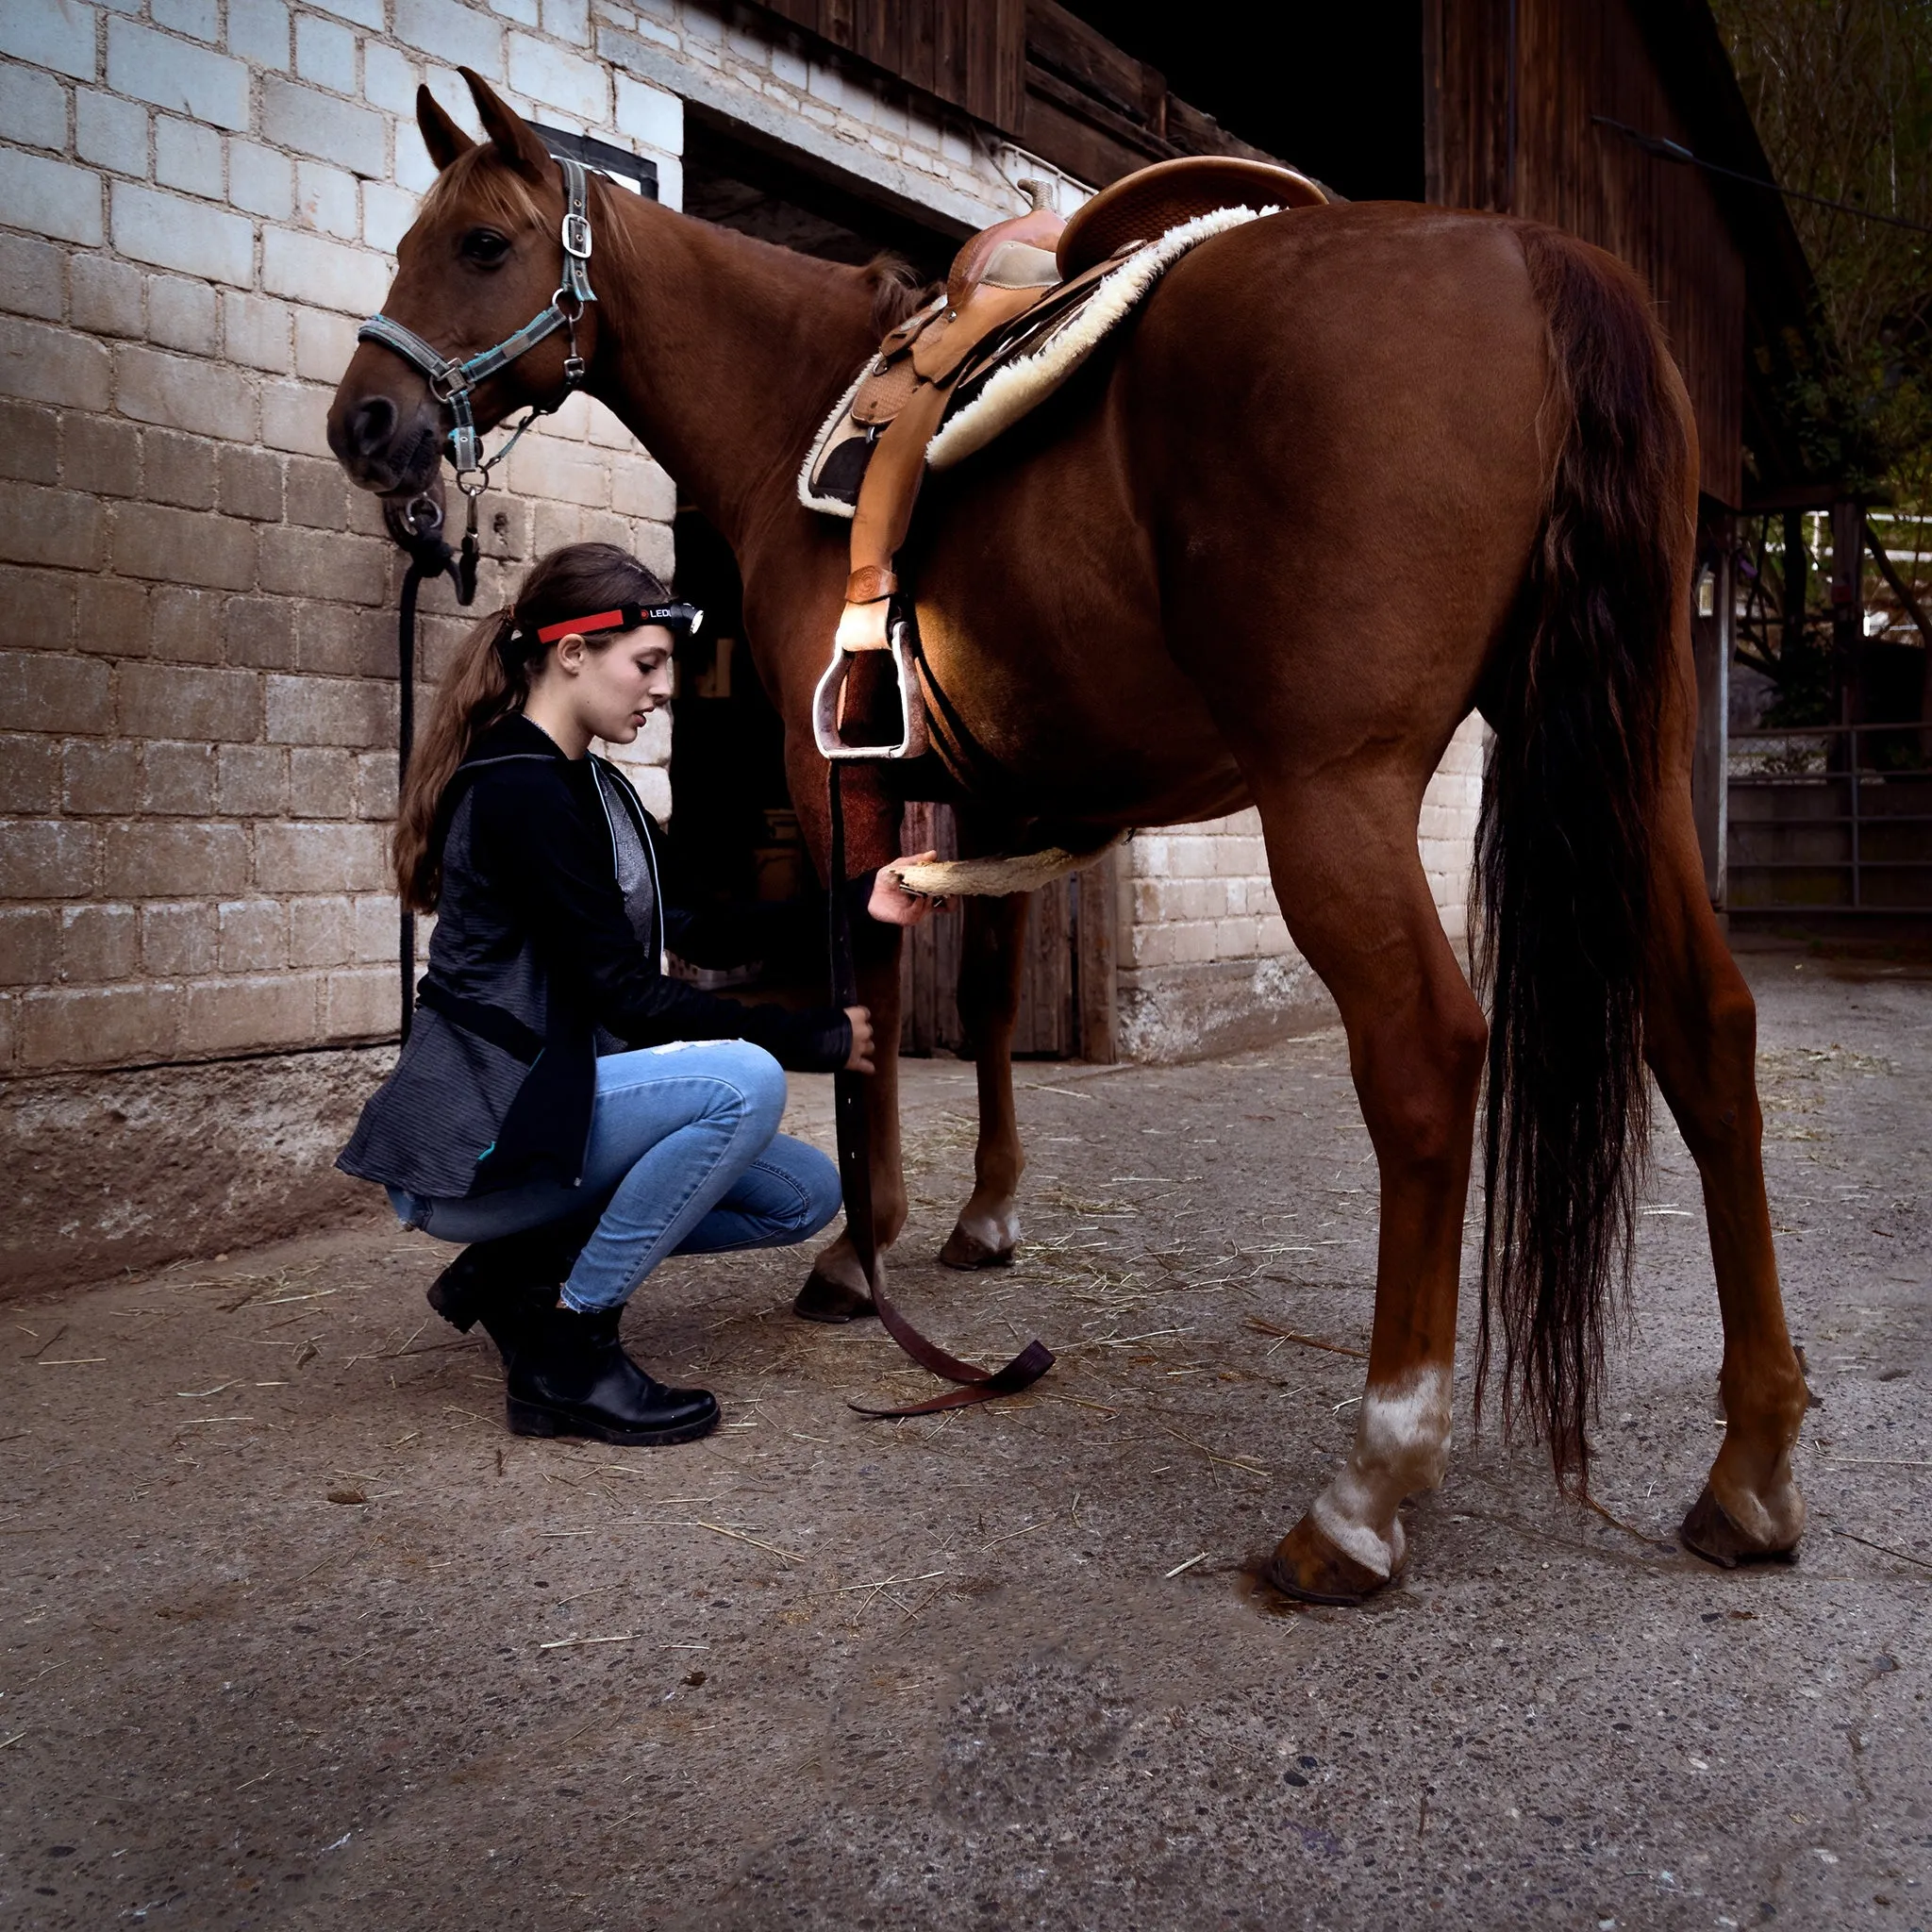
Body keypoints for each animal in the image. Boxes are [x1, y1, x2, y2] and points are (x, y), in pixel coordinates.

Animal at [328, 71, 1807, 1599]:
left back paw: (1363, 1492)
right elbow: (981, 998)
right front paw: (984, 1220)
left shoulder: (840, 778)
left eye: (482, 245)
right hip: (1633, 771)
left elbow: (868, 999)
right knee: (1706, 1028)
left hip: (1334, 795)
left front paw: (860, 1256)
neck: (795, 402)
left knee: (1425, 1056)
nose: (366, 423)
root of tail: (1535, 258)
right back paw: (1748, 1470)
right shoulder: (997, 791)